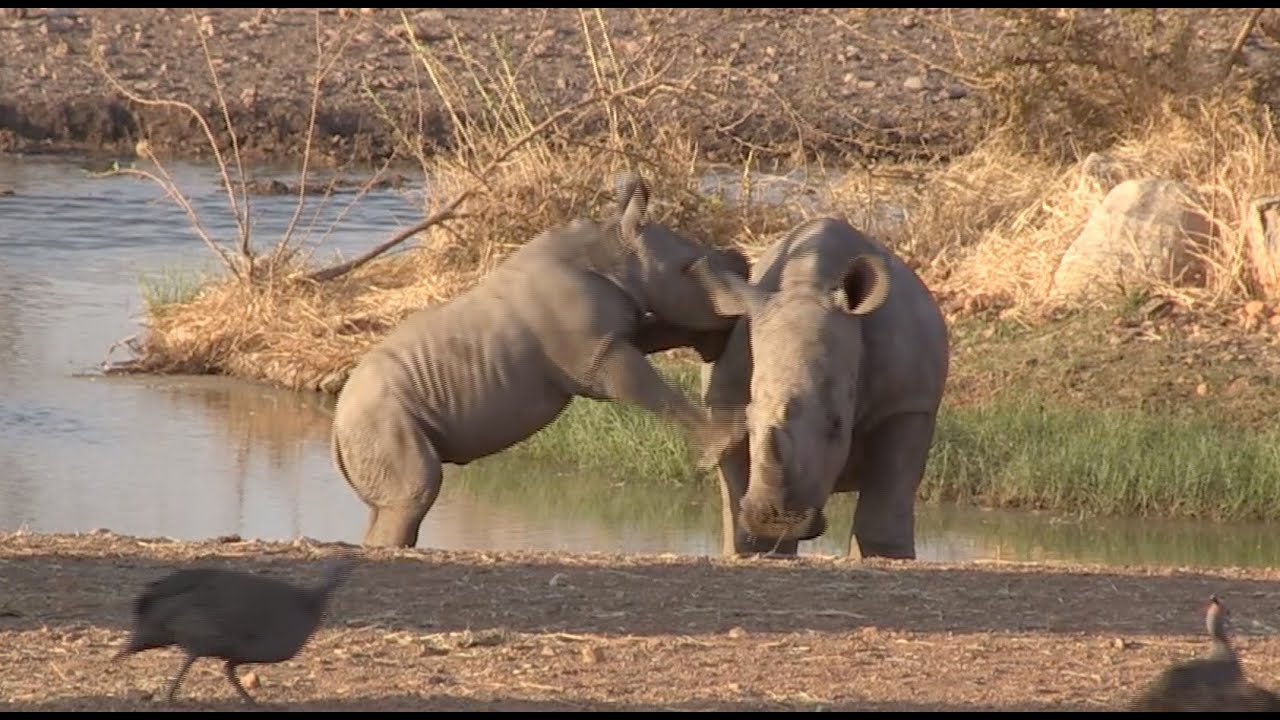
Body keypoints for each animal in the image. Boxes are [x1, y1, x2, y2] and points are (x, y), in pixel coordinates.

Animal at [331, 173, 751, 548]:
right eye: (688, 269)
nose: (743, 262)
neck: (615, 250)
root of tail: (336, 425)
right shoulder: (598, 357)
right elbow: (657, 392)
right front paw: (725, 444)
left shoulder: (610, 335)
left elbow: (660, 331)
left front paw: (711, 341)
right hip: (378, 414)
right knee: (415, 493)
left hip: (372, 418)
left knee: (390, 506)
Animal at [689, 216, 950, 559]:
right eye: (748, 421)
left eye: (837, 424)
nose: (775, 520)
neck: (807, 287)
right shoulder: (723, 401)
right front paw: (761, 545)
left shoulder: (906, 404)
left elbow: (888, 492)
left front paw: (885, 556)